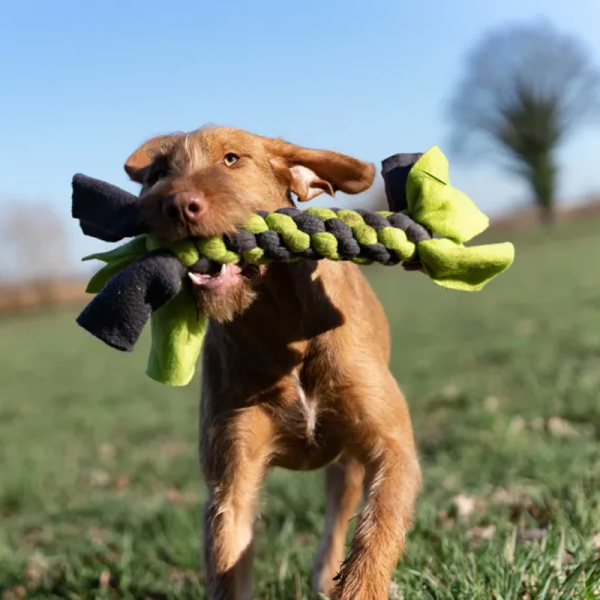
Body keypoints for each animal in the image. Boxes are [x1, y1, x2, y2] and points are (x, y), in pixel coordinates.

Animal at [124, 126, 420, 600]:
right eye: (159, 173)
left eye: (231, 158)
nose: (178, 204)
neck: (282, 324)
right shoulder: (231, 478)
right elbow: (228, 562)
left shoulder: (390, 446)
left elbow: (380, 526)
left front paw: (359, 584)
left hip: (348, 463)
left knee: (338, 514)